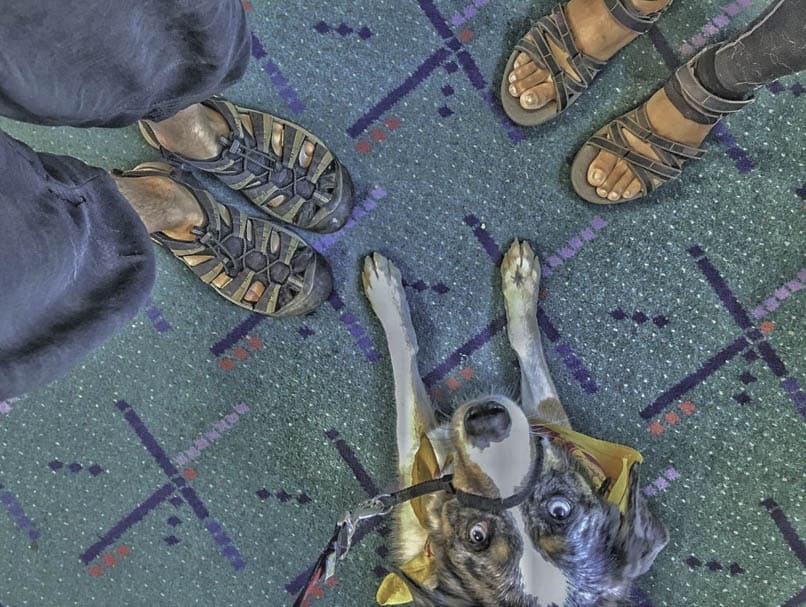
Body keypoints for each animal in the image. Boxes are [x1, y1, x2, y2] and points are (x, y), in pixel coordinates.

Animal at [362, 242, 664, 607]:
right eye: (477, 535)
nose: (486, 422)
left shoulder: (416, 456)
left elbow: (405, 353)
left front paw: (385, 292)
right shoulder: (547, 419)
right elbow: (525, 344)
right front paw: (520, 280)